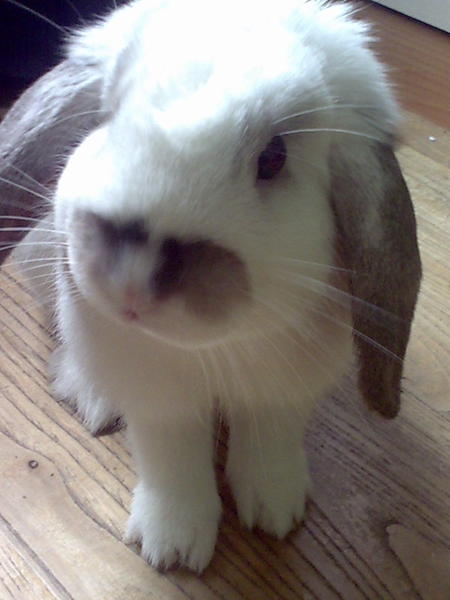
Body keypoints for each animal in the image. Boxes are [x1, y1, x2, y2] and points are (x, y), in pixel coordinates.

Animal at [0, 0, 421, 572]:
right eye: (107, 119)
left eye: (274, 157)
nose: (132, 280)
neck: (213, 349)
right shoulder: (158, 395)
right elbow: (171, 460)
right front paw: (173, 547)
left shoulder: (282, 390)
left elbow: (270, 439)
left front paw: (275, 510)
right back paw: (91, 394)